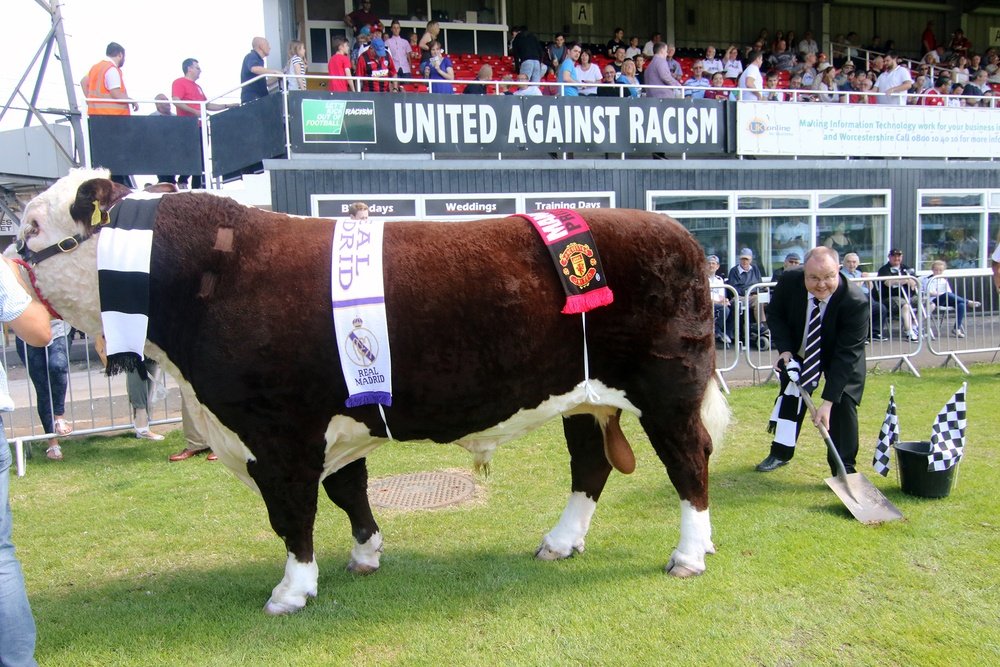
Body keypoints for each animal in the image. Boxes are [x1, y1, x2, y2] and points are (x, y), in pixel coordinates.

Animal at [17, 171, 728, 616]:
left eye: (29, 225)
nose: (12, 262)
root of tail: (683, 235)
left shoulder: (277, 430)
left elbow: (292, 513)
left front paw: (292, 590)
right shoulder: (336, 414)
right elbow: (346, 490)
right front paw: (365, 554)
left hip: (668, 386)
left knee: (688, 461)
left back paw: (689, 555)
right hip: (581, 396)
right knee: (591, 466)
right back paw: (560, 541)